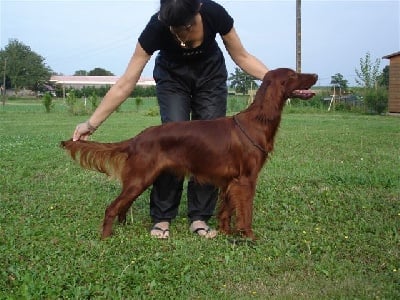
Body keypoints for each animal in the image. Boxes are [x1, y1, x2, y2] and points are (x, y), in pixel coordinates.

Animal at [61, 67, 318, 239]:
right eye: (293, 75)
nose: (315, 75)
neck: (256, 122)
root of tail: (137, 138)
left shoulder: (231, 181)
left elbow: (226, 210)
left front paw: (226, 233)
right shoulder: (247, 180)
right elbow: (246, 213)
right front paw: (249, 237)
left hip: (138, 180)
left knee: (122, 206)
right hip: (140, 178)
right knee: (112, 207)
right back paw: (106, 237)